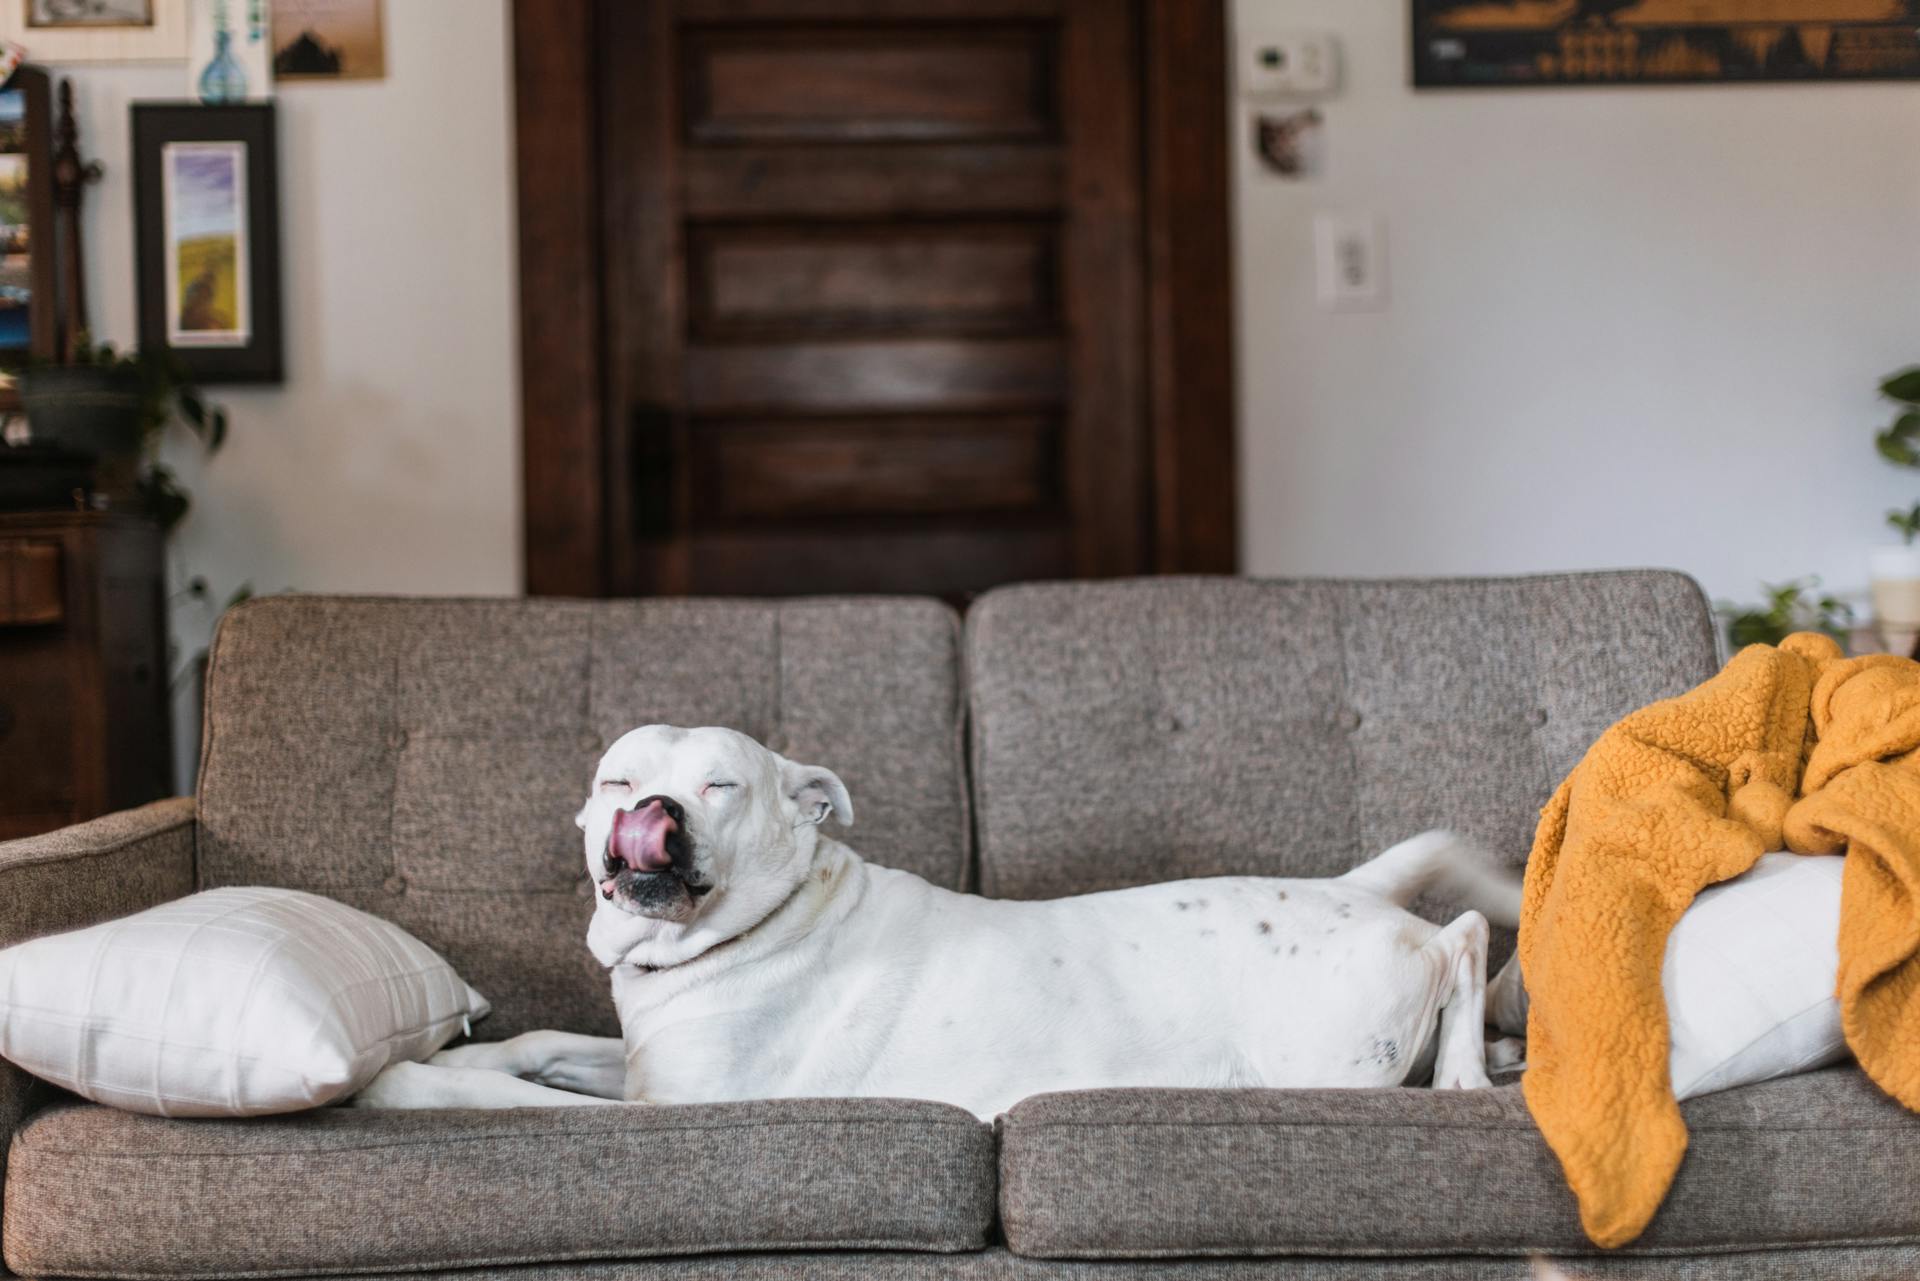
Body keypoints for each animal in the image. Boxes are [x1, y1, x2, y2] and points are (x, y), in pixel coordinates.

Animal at [357, 725, 1528, 1113]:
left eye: (722, 785)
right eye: (618, 777)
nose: (655, 813)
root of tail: (1355, 886)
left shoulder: (667, 1109)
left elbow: (512, 1104)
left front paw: (406, 1082)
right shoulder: (640, 1059)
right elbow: (543, 1045)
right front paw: (467, 1051)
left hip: (1326, 1046)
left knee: (1465, 940)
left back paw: (1469, 1069)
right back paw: (1501, 1055)